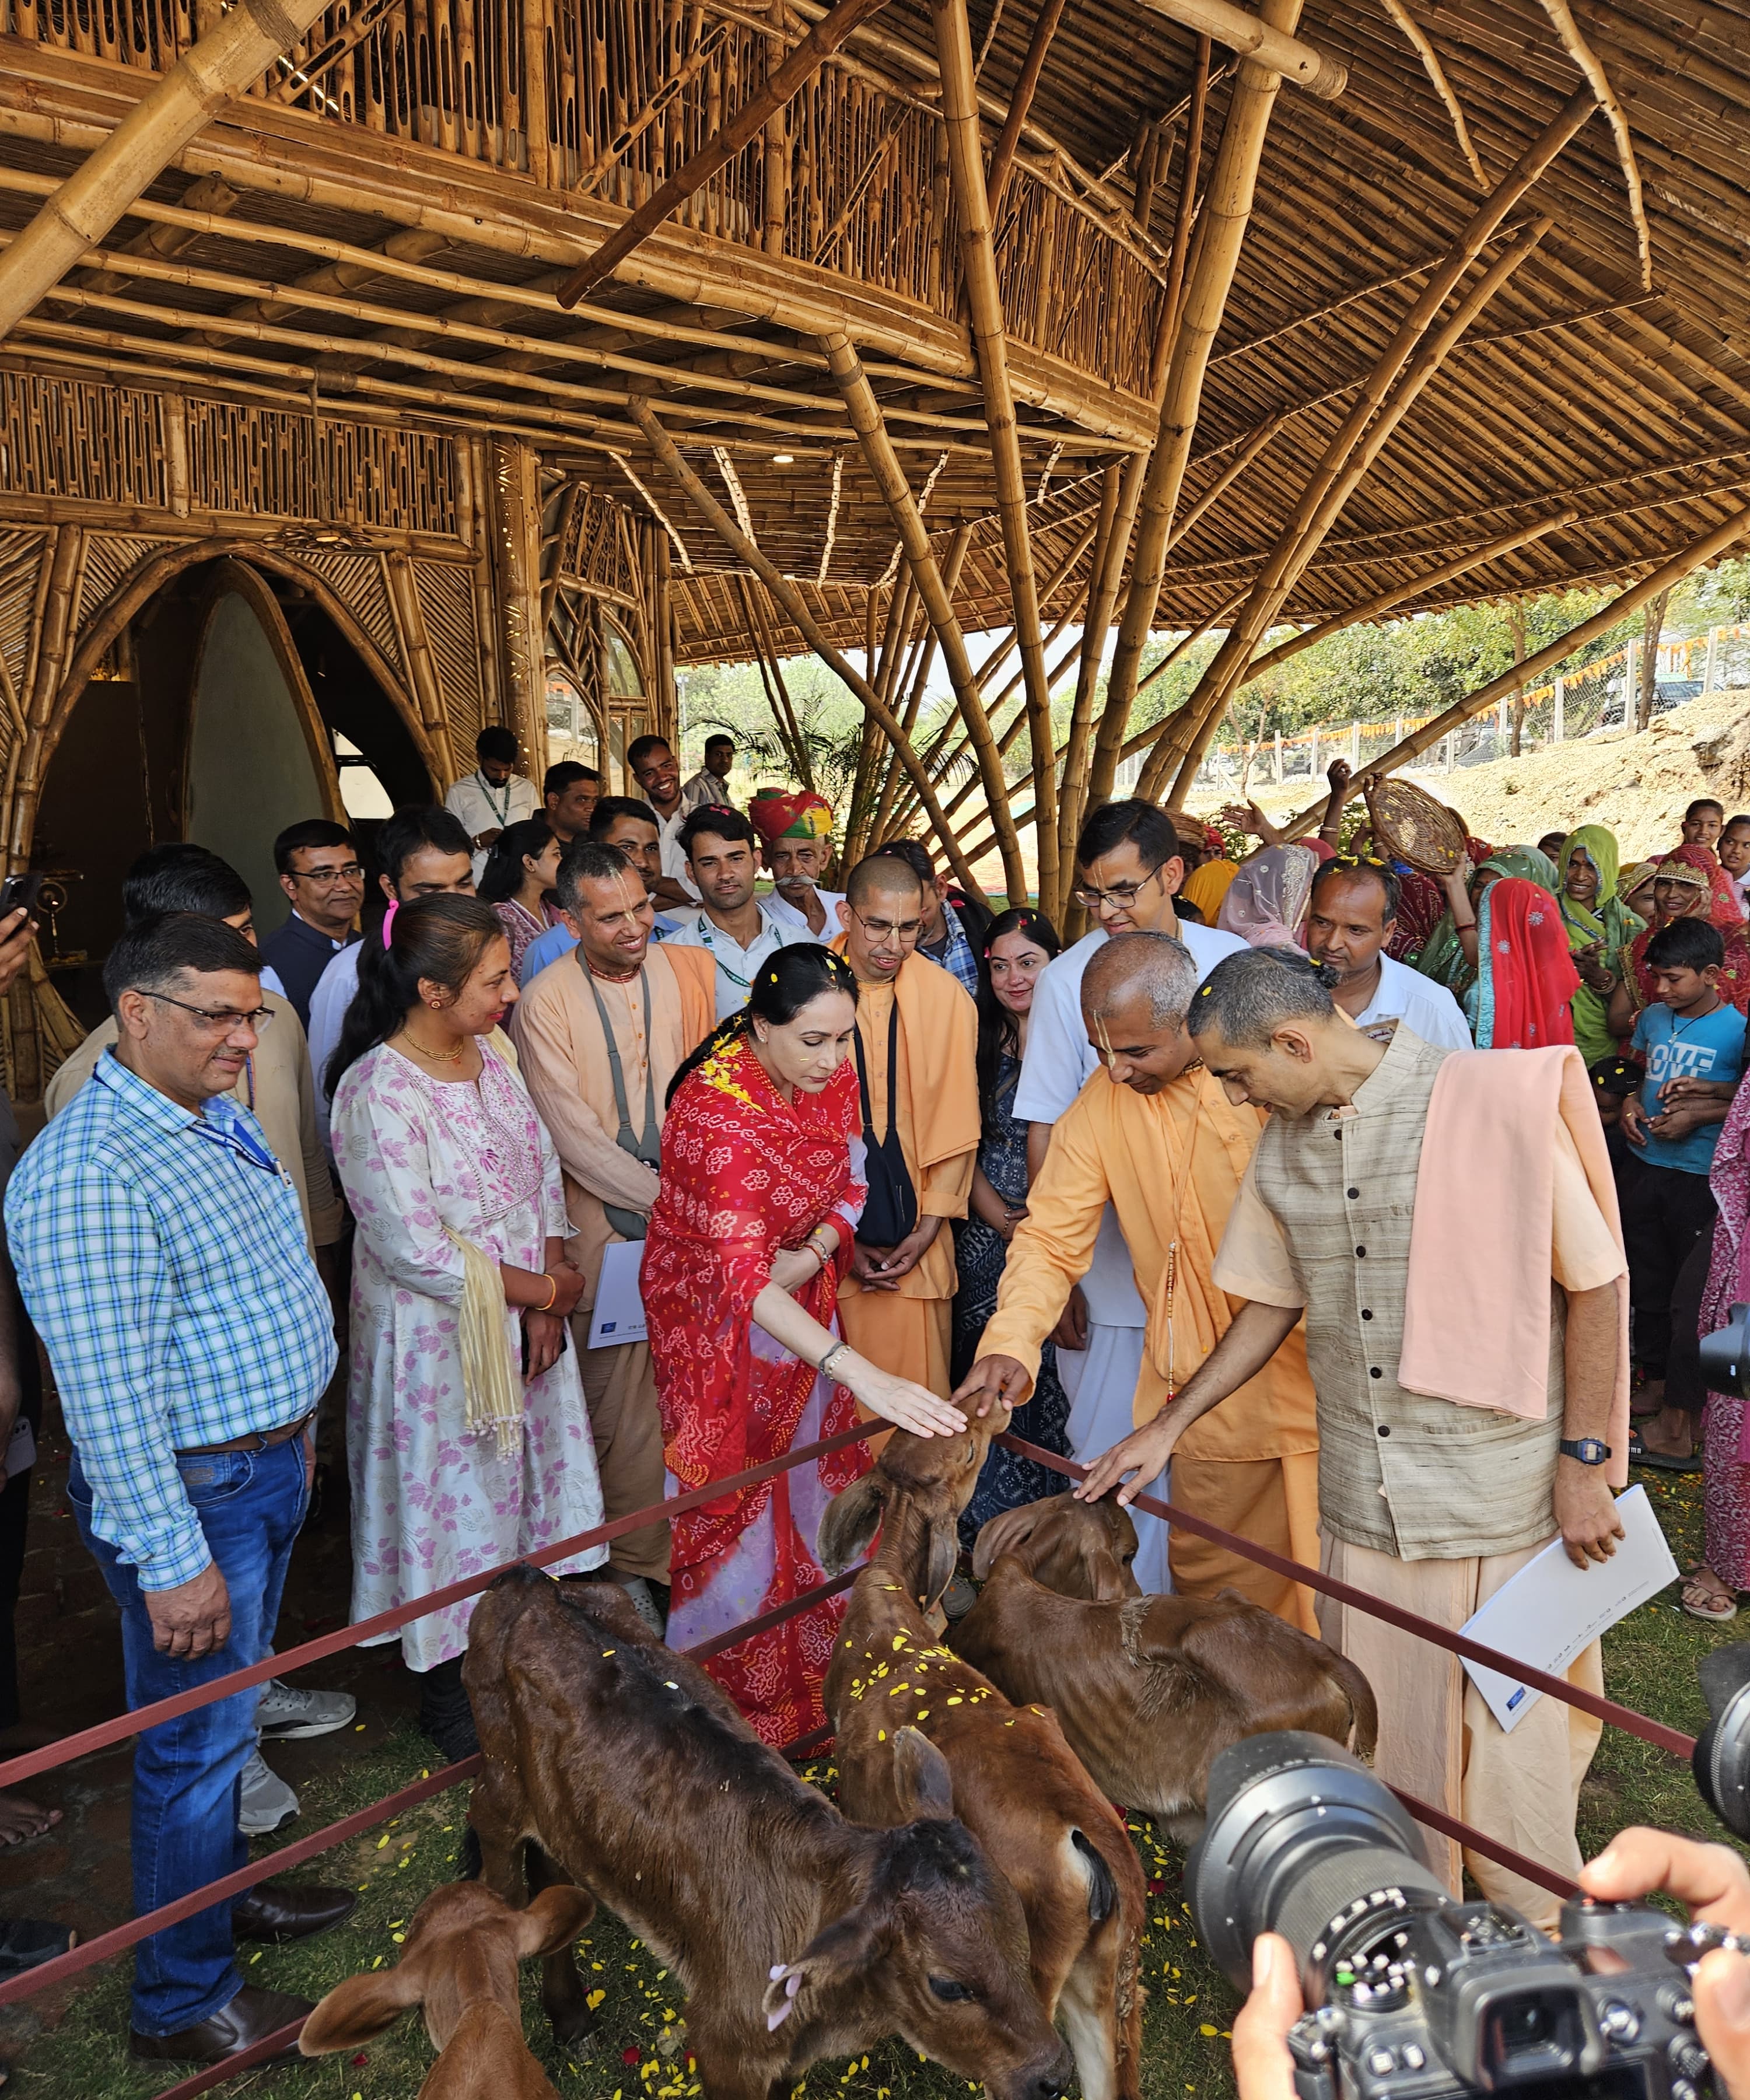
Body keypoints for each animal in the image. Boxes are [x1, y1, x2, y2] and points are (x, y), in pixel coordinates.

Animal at [458, 1570, 1071, 2100]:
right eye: (947, 1985)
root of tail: (528, 1578)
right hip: (498, 1781)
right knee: (497, 1857)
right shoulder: (723, 2044)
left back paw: (570, 2016)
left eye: (1019, 1928)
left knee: (554, 1867)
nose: (1052, 2077)